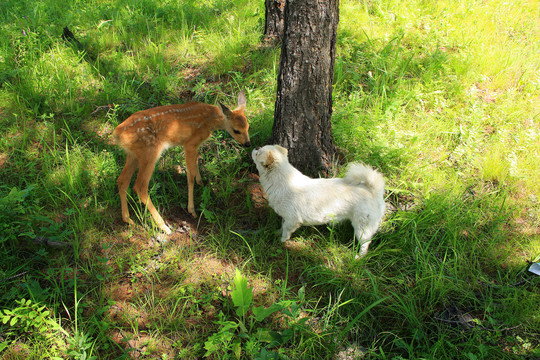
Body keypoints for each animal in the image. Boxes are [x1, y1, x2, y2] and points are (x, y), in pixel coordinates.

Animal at [251, 145, 386, 258]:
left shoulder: (292, 220)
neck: (282, 180)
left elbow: (286, 230)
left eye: (258, 153)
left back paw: (359, 257)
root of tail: (371, 189)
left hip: (362, 227)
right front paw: (277, 232)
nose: (255, 147)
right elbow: (282, 225)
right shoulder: (286, 216)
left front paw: (282, 241)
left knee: (365, 243)